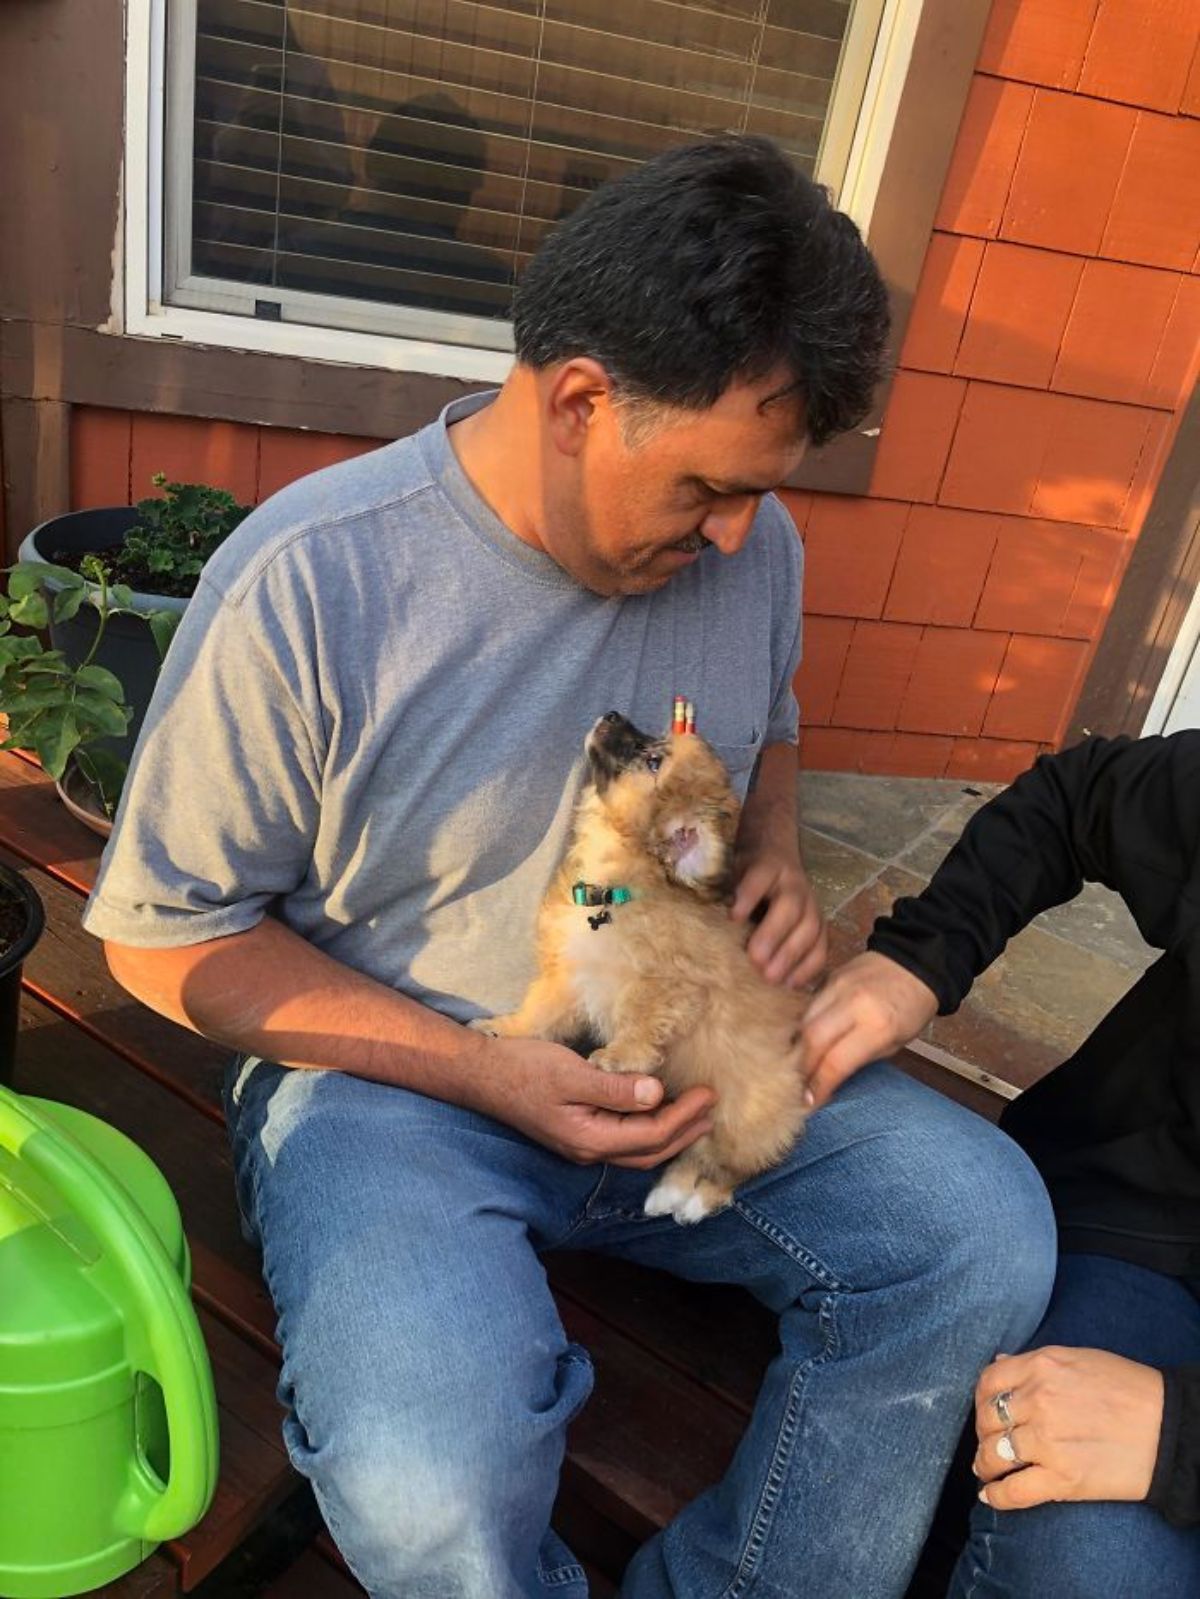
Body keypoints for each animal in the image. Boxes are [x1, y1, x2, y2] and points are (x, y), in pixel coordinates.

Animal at [476, 713, 809, 1221]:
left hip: (743, 1115)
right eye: (656, 741)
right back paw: (670, 1195)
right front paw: (505, 1029)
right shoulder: (567, 978)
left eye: (653, 761)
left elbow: (640, 1020)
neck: (614, 891)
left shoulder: (670, 985)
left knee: (727, 1167)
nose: (611, 714)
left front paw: (619, 1058)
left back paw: (687, 1198)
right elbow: (539, 1015)